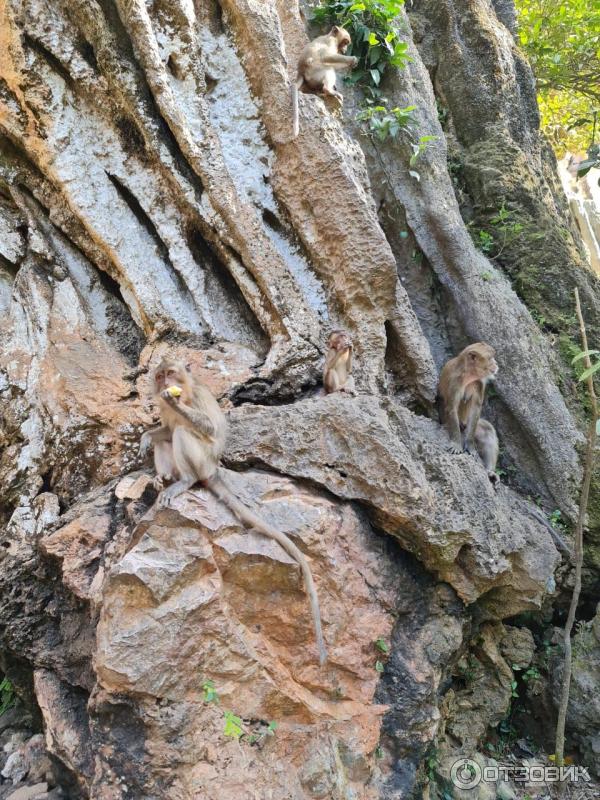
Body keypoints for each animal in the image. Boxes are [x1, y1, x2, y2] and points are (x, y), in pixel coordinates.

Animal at [139, 360, 328, 664]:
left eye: (171, 373)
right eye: (159, 376)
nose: (165, 383)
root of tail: (212, 470)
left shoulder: (197, 398)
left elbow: (207, 427)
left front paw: (176, 405)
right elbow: (164, 431)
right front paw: (147, 436)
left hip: (202, 462)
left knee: (184, 434)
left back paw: (184, 481)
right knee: (167, 439)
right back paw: (164, 478)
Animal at [438, 342, 500, 484]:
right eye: (490, 358)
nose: (496, 363)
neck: (469, 375)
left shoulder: (479, 383)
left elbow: (475, 409)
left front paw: (470, 446)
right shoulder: (454, 381)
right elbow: (451, 408)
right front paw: (456, 443)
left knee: (487, 430)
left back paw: (490, 471)